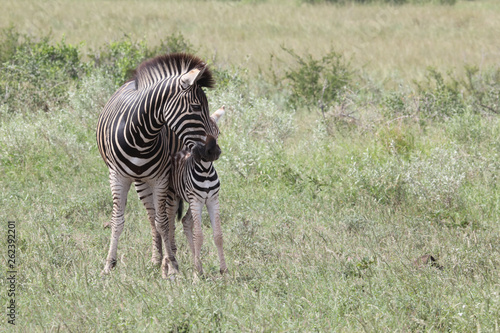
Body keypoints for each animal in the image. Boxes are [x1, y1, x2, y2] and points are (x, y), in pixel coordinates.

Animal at [170, 106, 229, 274]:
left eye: (218, 133)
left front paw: (224, 271)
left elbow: (218, 235)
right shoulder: (196, 201)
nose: (214, 153)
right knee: (168, 226)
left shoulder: (212, 200)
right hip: (174, 198)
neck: (206, 171)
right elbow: (199, 236)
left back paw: (198, 264)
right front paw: (196, 273)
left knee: (185, 221)